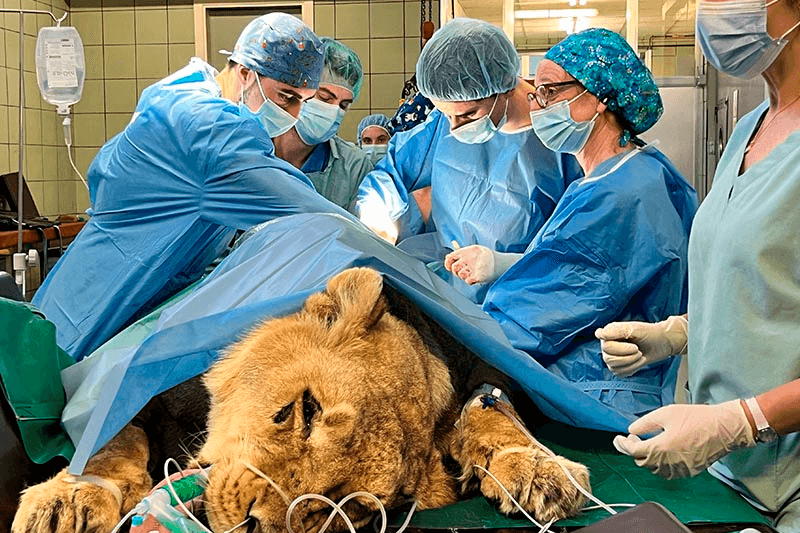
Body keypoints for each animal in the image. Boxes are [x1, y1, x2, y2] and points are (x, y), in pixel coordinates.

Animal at [12, 267, 590, 533]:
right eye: (304, 409)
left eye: (351, 504)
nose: (252, 526)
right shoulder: (140, 385)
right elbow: (111, 438)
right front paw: (68, 499)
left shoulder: (476, 367)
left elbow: (493, 411)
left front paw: (539, 468)